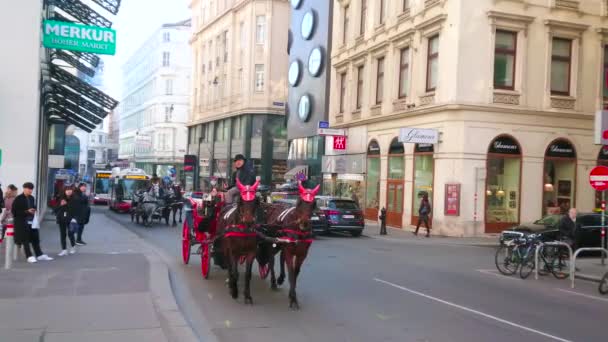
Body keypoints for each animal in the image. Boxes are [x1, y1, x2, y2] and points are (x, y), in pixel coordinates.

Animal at [258, 182, 320, 310]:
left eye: (313, 203)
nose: (304, 223)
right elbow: (291, 272)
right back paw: (273, 282)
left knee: (281, 257)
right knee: (272, 260)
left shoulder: (302, 254)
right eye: (299, 202)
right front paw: (293, 299)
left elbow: (295, 273)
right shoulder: (290, 251)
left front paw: (292, 294)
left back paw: (280, 278)